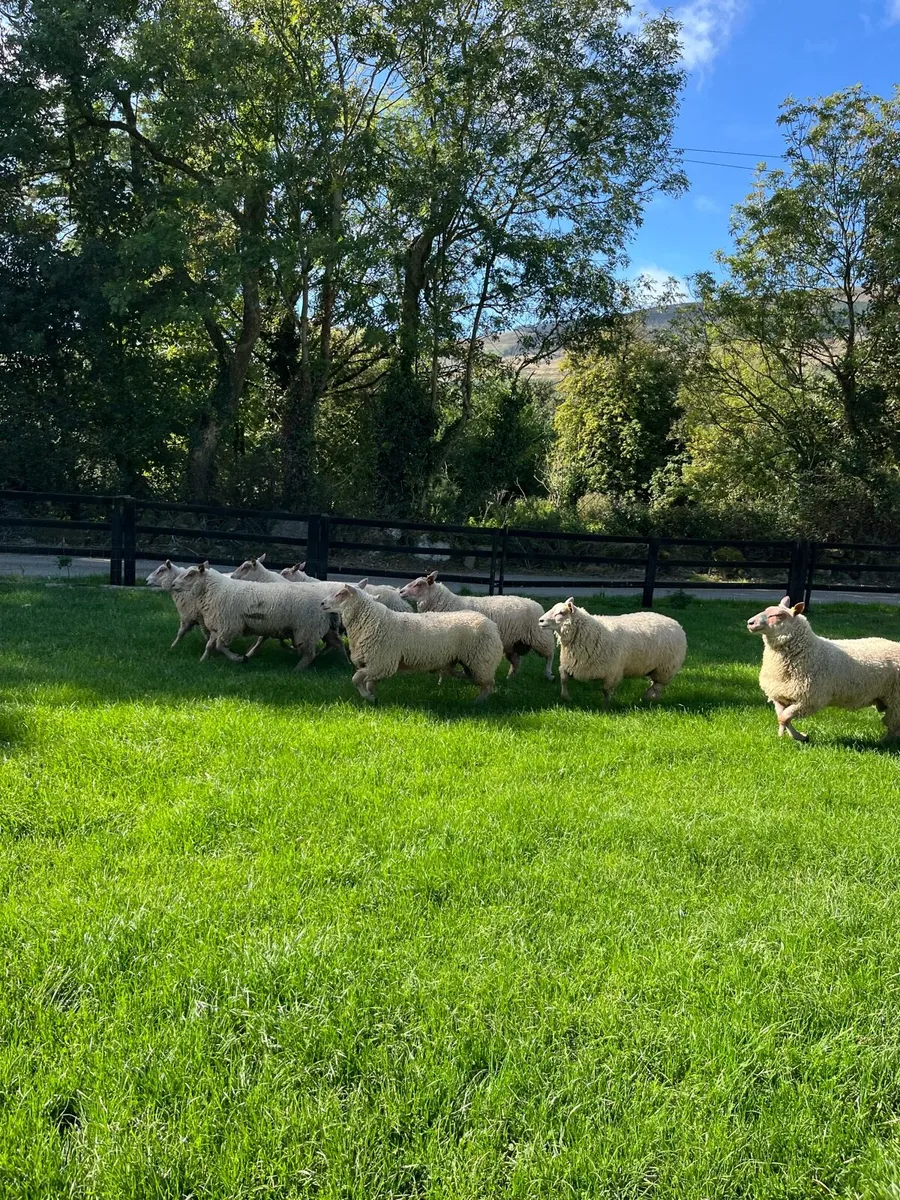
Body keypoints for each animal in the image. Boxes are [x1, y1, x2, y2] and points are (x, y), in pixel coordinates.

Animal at [171, 562, 344, 669]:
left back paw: (297, 670)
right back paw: (345, 663)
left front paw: (239, 658)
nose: (173, 584)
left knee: (309, 654)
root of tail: (324, 602)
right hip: (324, 629)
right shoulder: (218, 625)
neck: (215, 589)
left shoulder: (229, 626)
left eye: (190, 574)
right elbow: (211, 645)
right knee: (337, 643)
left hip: (306, 630)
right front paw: (203, 660)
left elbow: (220, 646)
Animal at [321, 582, 504, 702]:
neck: (374, 622)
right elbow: (368, 682)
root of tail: (491, 624)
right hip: (467, 660)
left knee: (488, 685)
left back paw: (477, 702)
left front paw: (368, 697)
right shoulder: (374, 665)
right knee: (470, 677)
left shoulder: (381, 663)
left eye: (340, 594)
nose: (322, 603)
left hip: (482, 660)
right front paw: (373, 697)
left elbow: (356, 678)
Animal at [398, 571, 555, 680]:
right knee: (516, 661)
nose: (400, 592)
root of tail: (536, 604)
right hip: (512, 643)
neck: (448, 602)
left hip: (540, 636)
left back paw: (549, 674)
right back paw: (510, 678)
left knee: (550, 655)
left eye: (418, 584)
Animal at [538, 598, 687, 702]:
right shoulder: (572, 664)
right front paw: (566, 697)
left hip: (666, 668)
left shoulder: (612, 671)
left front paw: (607, 706)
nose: (540, 621)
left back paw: (646, 697)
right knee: (656, 685)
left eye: (561, 613)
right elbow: (563, 678)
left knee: (658, 685)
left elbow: (606, 690)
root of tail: (675, 623)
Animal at [747, 596, 900, 742]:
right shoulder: (780, 696)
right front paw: (795, 736)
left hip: (895, 698)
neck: (810, 650)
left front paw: (799, 737)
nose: (750, 622)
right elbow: (783, 718)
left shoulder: (810, 699)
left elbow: (784, 718)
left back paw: (884, 742)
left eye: (778, 615)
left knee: (893, 724)